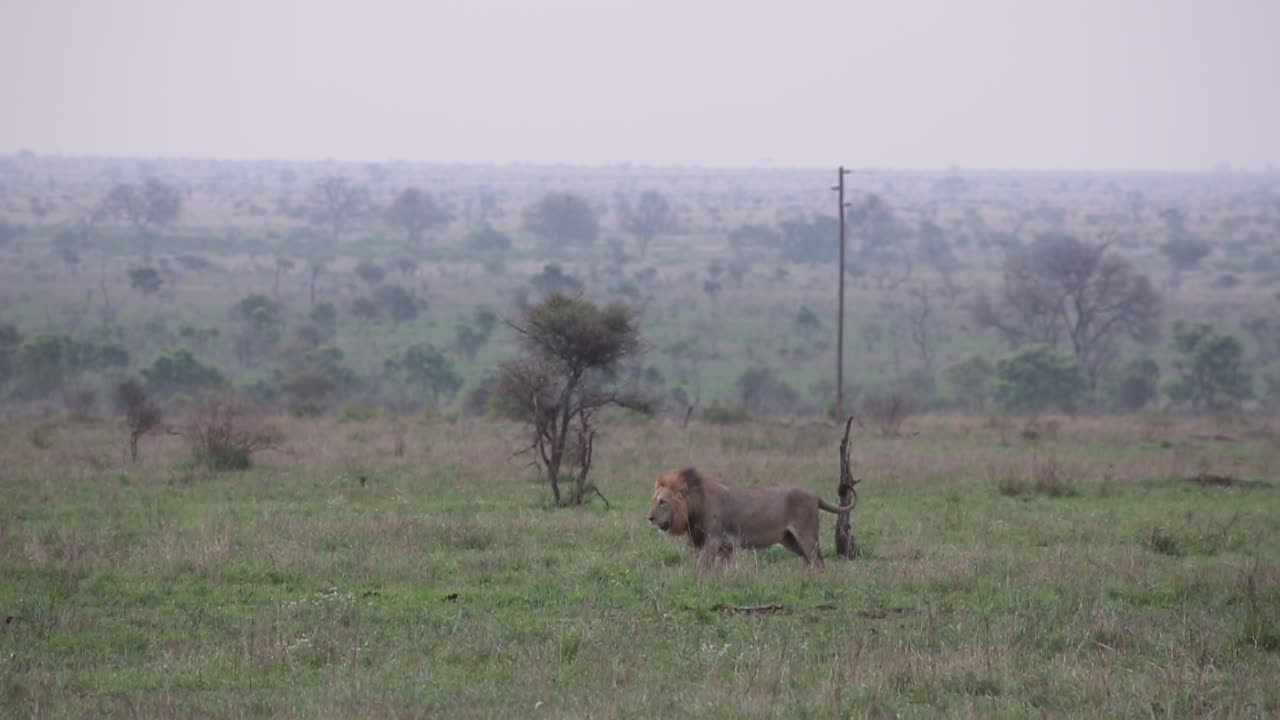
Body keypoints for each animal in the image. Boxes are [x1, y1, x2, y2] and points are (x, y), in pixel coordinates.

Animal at [645, 466, 855, 571]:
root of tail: (814, 495)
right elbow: (722, 568)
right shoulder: (722, 546)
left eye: (663, 502)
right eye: (653, 500)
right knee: (810, 561)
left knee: (818, 562)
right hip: (790, 540)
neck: (693, 509)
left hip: (807, 536)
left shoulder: (712, 540)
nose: (649, 518)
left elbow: (703, 567)